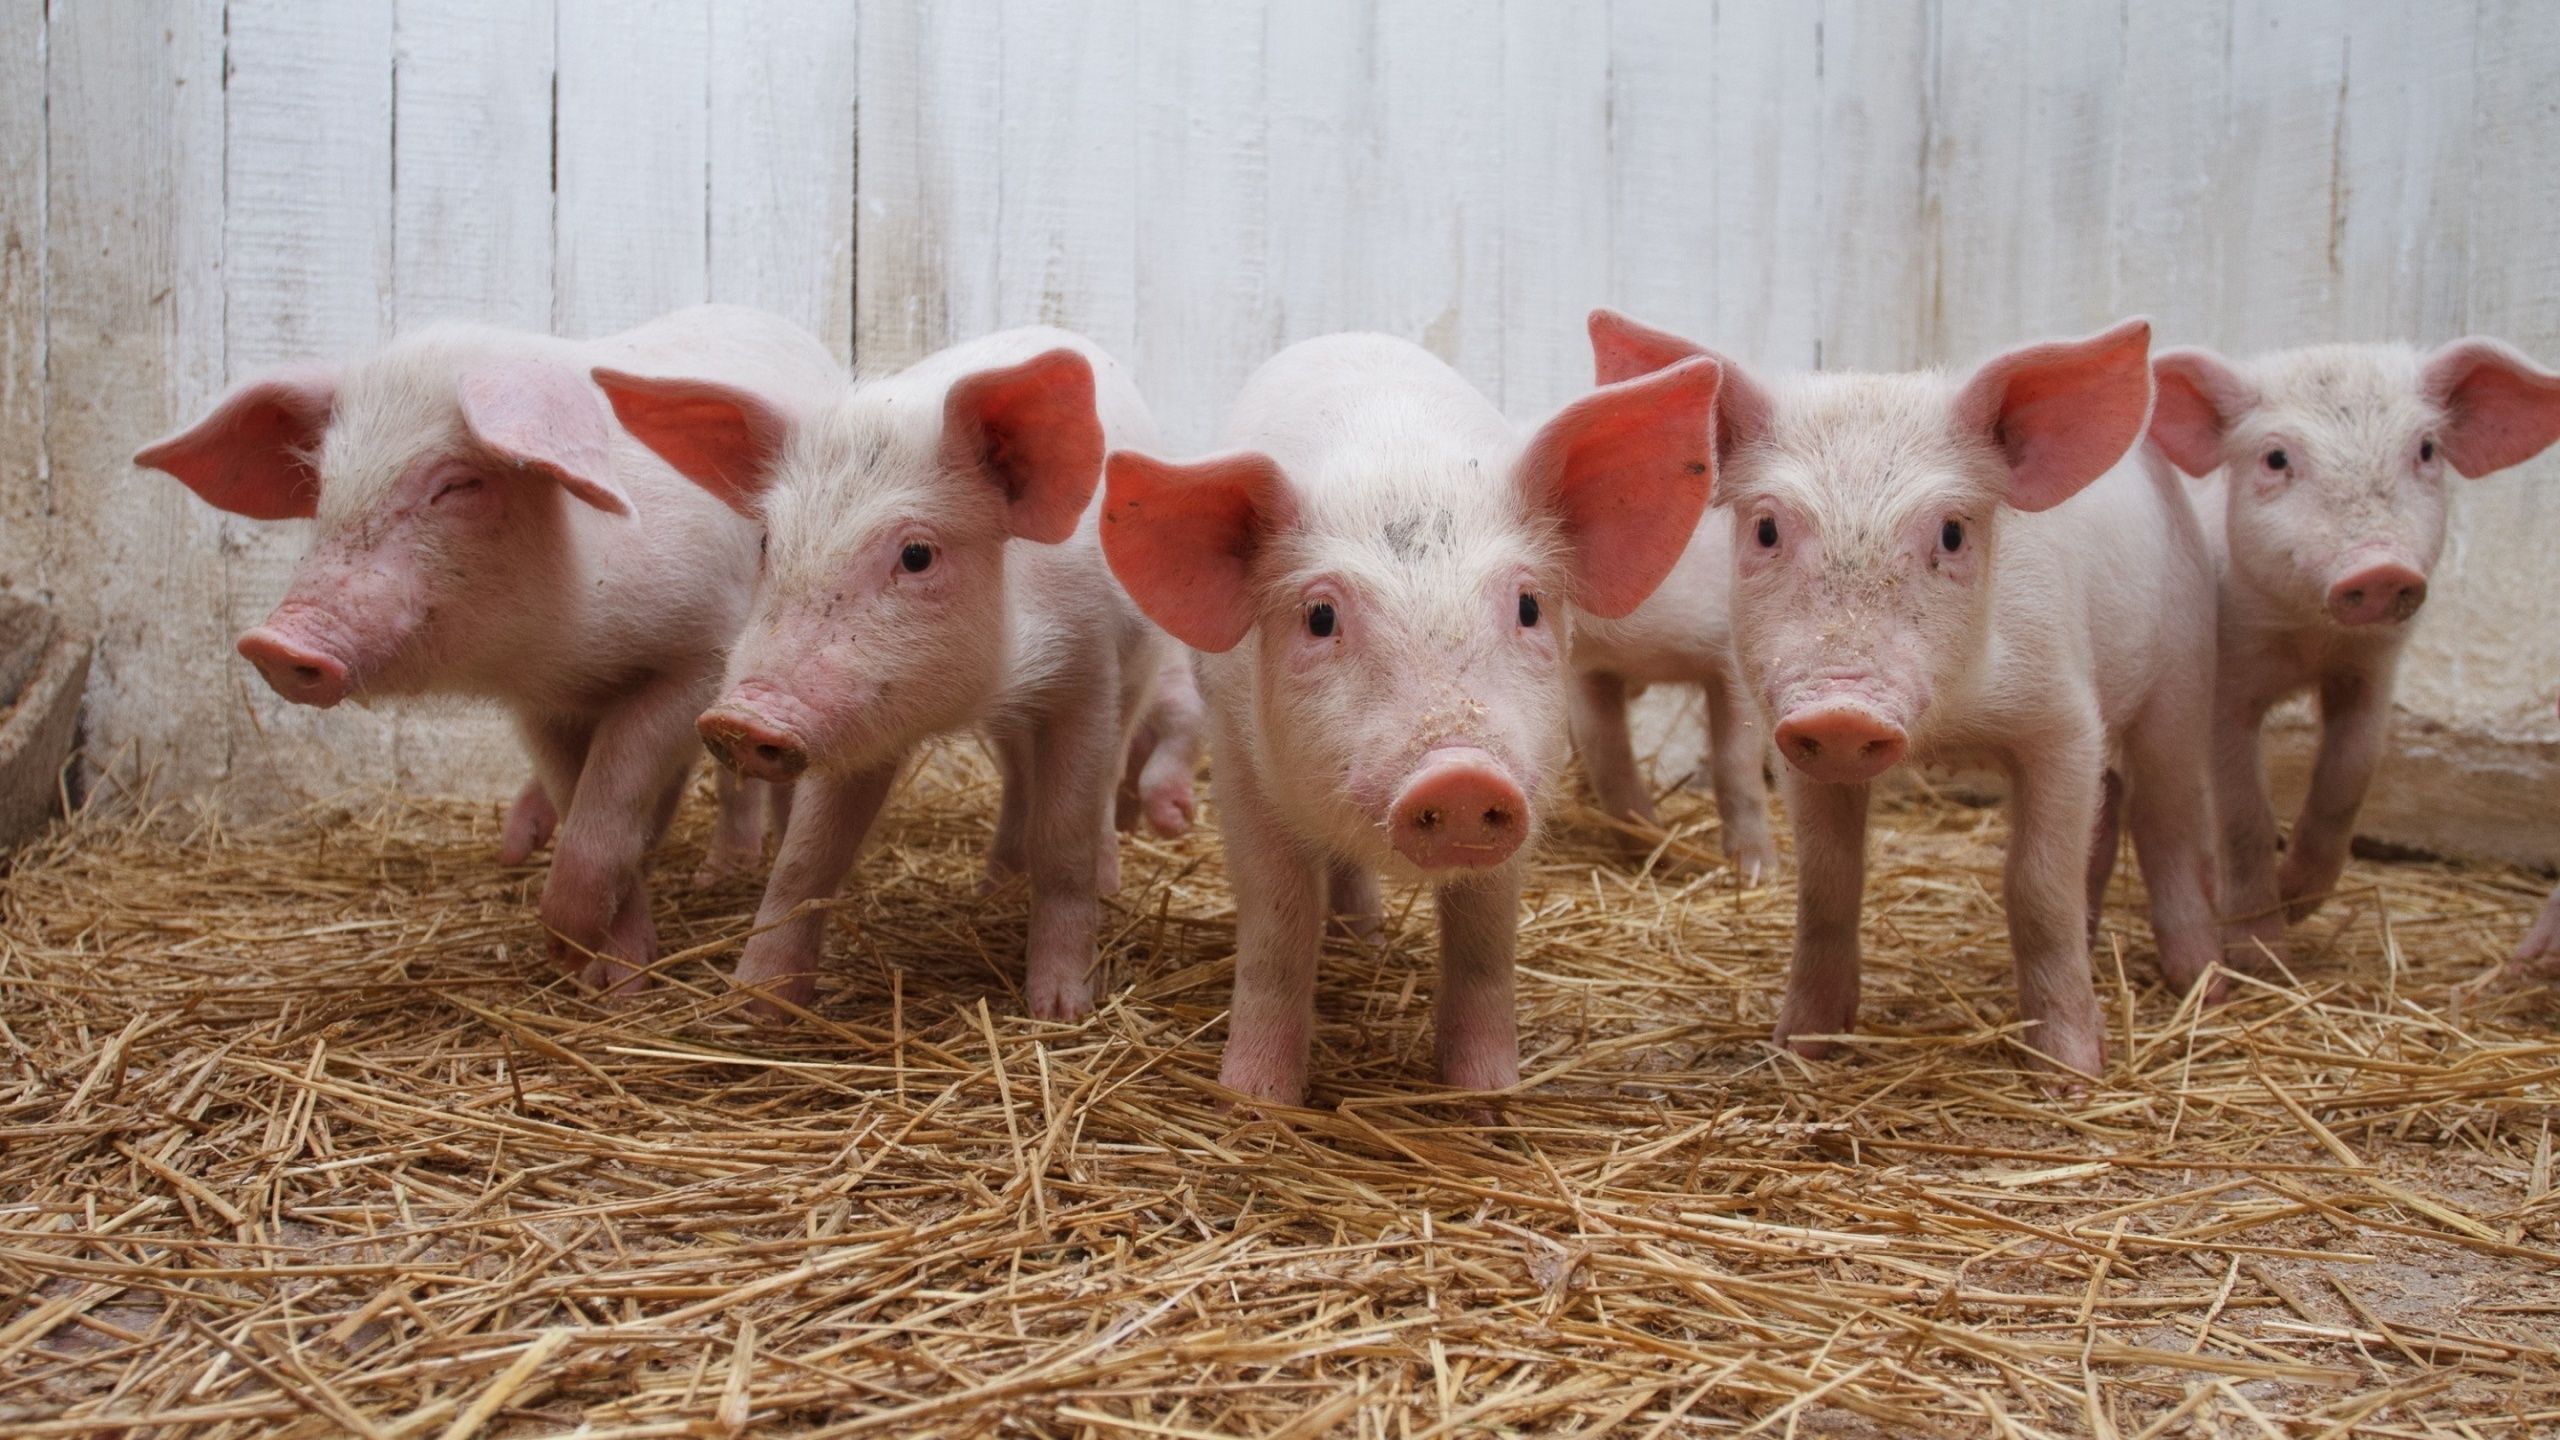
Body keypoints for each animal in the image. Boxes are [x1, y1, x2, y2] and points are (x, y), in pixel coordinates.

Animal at [133, 305, 836, 991]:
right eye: (325, 483)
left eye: (457, 485)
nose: (274, 642)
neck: (572, 645)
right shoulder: (540, 706)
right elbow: (578, 794)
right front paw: (600, 976)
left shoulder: (700, 657)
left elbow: (610, 794)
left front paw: (582, 959)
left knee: (735, 779)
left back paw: (724, 874)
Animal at [591, 327, 1197, 1022]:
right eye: (768, 541)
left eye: (916, 555)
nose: (740, 718)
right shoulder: (857, 722)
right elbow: (806, 855)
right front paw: (752, 1005)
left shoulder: (1087, 671)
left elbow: (1064, 839)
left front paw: (1059, 1010)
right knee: (1018, 778)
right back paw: (992, 887)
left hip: (1139, 669)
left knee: (1106, 774)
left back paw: (1100, 882)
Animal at [1099, 333, 1721, 1107]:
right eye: (1320, 616)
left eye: (1528, 605)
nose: (1459, 774)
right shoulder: (1240, 767)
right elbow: (1277, 924)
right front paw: (1258, 1102)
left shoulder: (1524, 789)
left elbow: (1485, 940)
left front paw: (1485, 1103)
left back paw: (1364, 940)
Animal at [1591, 310, 2221, 1079]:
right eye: (1767, 527)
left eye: (1951, 532)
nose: (1841, 709)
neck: (1953, 729)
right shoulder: (1797, 750)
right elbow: (1827, 884)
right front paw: (1800, 1048)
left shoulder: (2063, 717)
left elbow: (2038, 885)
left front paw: (2071, 1075)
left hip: (2183, 672)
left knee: (2167, 817)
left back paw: (2206, 986)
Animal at [2147, 341, 2560, 960]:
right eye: (2275, 459)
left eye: (2426, 449)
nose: (2380, 568)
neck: (2310, 639)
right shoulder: (2225, 685)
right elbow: (2244, 814)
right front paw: (2262, 952)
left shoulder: (2372, 669)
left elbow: (2348, 777)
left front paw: (2298, 900)